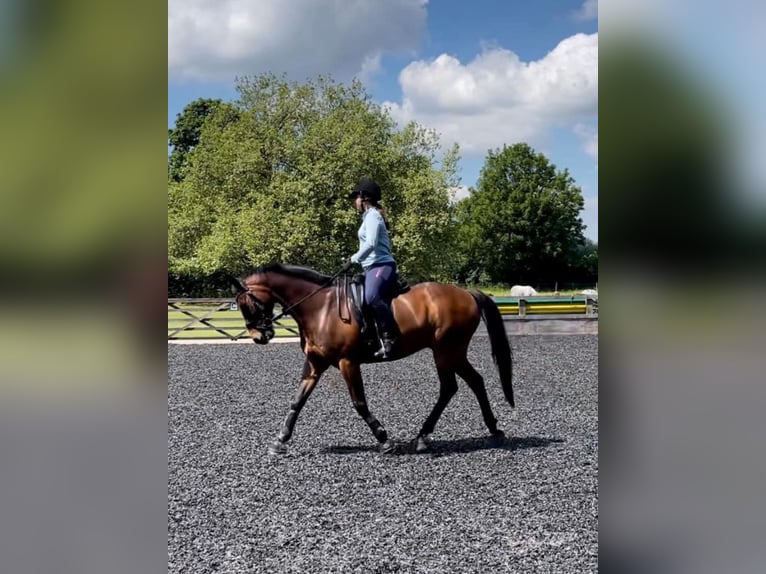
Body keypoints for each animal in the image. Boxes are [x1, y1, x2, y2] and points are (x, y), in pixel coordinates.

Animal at [230, 264, 516, 456]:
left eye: (246, 303)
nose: (259, 336)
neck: (319, 308)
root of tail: (466, 294)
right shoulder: (315, 363)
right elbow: (297, 401)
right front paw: (280, 440)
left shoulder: (347, 362)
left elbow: (359, 403)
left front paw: (384, 439)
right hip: (453, 352)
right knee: (474, 382)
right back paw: (492, 430)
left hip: (445, 351)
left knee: (449, 387)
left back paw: (424, 436)